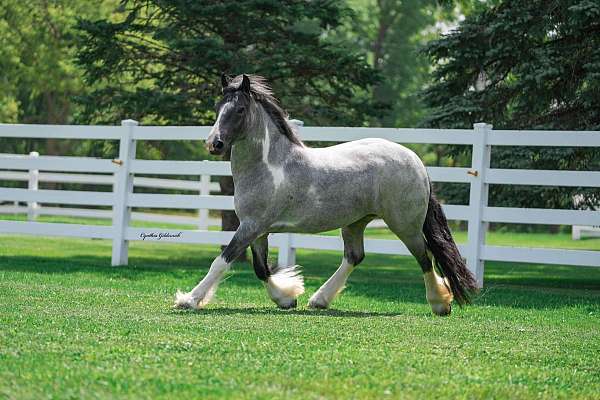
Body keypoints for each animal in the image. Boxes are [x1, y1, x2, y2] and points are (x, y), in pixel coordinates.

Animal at [175, 74, 478, 316]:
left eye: (239, 109)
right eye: (218, 108)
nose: (214, 144)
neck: (269, 166)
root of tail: (416, 161)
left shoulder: (252, 226)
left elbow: (222, 260)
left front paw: (188, 300)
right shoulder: (258, 230)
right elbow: (261, 268)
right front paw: (286, 298)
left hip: (405, 224)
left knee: (425, 256)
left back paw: (440, 304)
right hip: (356, 222)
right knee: (355, 256)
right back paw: (319, 300)